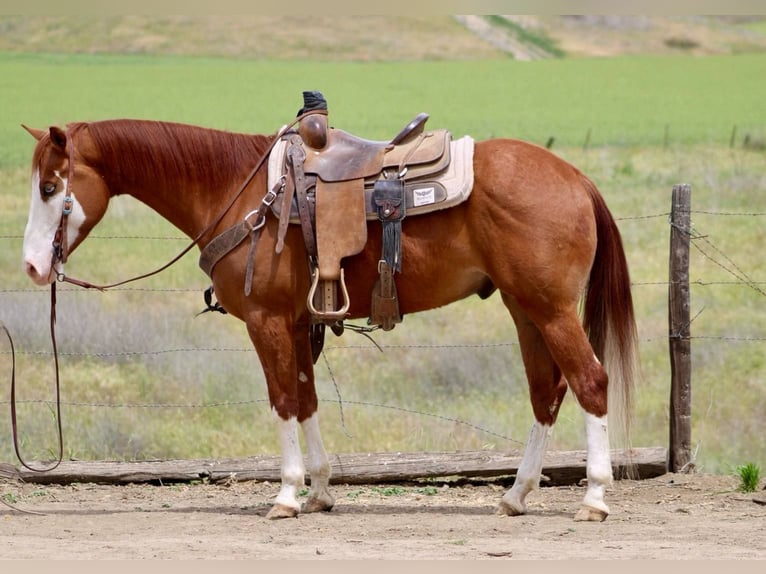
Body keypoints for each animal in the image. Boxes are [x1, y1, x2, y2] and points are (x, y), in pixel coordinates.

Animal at [21, 116, 637, 522]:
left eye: (51, 187)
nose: (31, 266)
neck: (240, 191)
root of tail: (577, 179)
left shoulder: (266, 320)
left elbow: (282, 401)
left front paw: (286, 496)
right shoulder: (297, 324)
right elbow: (306, 399)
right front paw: (318, 492)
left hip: (551, 311)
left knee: (590, 382)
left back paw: (593, 499)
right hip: (525, 310)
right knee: (546, 392)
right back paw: (515, 495)